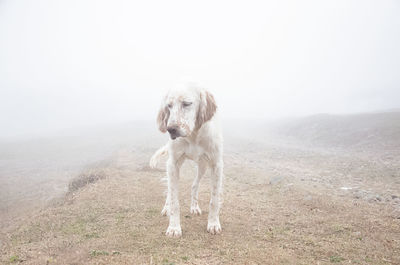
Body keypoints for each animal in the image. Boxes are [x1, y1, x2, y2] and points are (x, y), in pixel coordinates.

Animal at [150, 83, 225, 236]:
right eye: (169, 106)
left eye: (187, 103)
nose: (171, 129)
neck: (193, 135)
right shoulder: (173, 164)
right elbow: (174, 199)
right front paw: (174, 227)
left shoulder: (216, 164)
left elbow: (214, 199)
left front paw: (213, 224)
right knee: (170, 190)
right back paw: (166, 207)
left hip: (203, 166)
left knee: (194, 185)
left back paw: (194, 207)